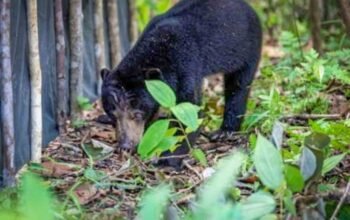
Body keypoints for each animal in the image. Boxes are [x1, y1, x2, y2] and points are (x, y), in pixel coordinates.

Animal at [100, 0, 262, 165]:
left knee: (238, 86)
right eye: (112, 114)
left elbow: (190, 110)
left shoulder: (186, 65)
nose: (125, 144)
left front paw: (168, 160)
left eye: (137, 114)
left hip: (247, 48)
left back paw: (224, 131)